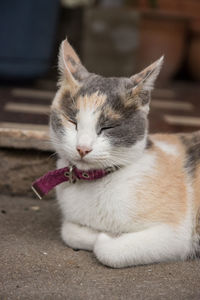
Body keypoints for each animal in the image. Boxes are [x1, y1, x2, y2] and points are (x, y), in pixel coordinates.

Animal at [49, 38, 200, 268]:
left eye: (107, 127)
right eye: (72, 122)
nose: (82, 148)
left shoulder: (175, 234)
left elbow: (106, 250)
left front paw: (106, 237)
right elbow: (68, 230)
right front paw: (97, 233)